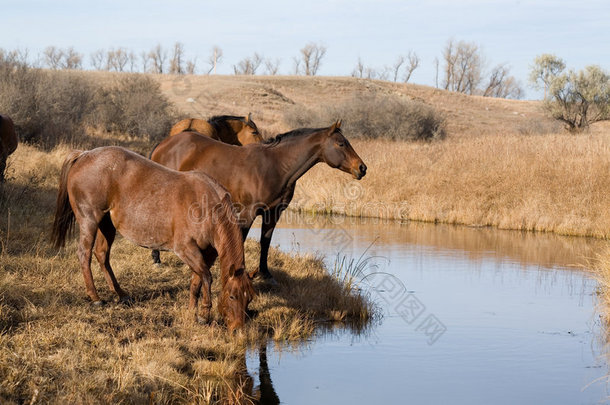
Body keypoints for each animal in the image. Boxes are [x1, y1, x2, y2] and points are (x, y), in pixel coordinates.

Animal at [49, 147, 254, 330]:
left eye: (249, 298)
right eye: (232, 296)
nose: (238, 328)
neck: (207, 206)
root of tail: (83, 155)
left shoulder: (207, 253)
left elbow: (198, 280)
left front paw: (192, 311)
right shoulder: (186, 249)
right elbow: (206, 277)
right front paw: (204, 314)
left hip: (106, 224)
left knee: (102, 255)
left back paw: (121, 294)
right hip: (89, 221)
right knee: (85, 254)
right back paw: (95, 297)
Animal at [150, 120, 366, 280]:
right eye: (341, 143)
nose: (362, 168)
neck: (275, 166)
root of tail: (165, 144)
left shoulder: (273, 213)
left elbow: (265, 241)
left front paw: (265, 274)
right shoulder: (248, 212)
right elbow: (242, 239)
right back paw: (156, 259)